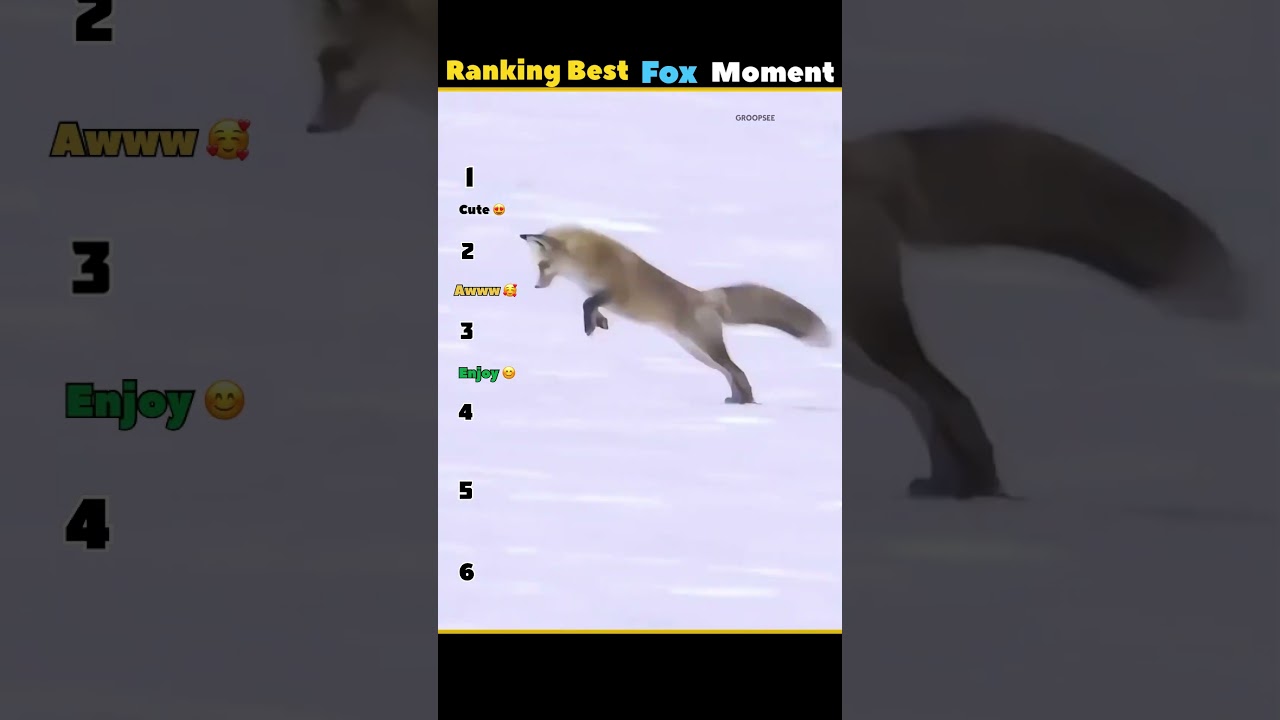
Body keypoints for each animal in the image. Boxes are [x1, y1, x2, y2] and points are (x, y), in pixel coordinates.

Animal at [520, 226, 832, 405]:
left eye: (542, 266)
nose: (536, 286)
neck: (587, 262)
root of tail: (705, 296)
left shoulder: (617, 292)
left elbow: (588, 303)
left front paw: (591, 326)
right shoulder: (602, 295)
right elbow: (592, 306)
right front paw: (600, 322)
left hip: (707, 348)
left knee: (736, 370)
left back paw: (746, 403)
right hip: (697, 352)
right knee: (731, 373)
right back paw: (739, 400)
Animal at [843, 117, 1247, 500]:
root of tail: (868, 153)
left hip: (869, 339)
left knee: (945, 398)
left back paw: (970, 486)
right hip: (860, 352)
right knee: (931, 402)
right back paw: (956, 485)